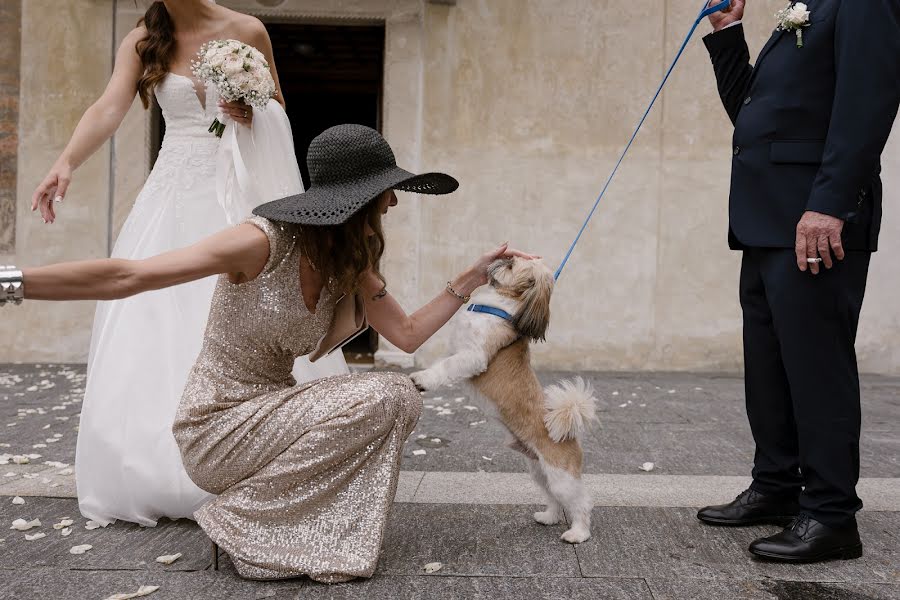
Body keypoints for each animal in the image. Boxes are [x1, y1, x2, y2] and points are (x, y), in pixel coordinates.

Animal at [414, 258, 596, 544]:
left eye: (511, 266)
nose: (500, 259)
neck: (493, 304)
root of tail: (568, 431)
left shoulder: (472, 356)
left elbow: (445, 366)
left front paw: (423, 379)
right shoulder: (455, 348)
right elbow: (443, 362)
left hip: (561, 478)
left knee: (580, 503)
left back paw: (578, 533)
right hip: (540, 472)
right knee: (553, 498)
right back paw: (549, 517)